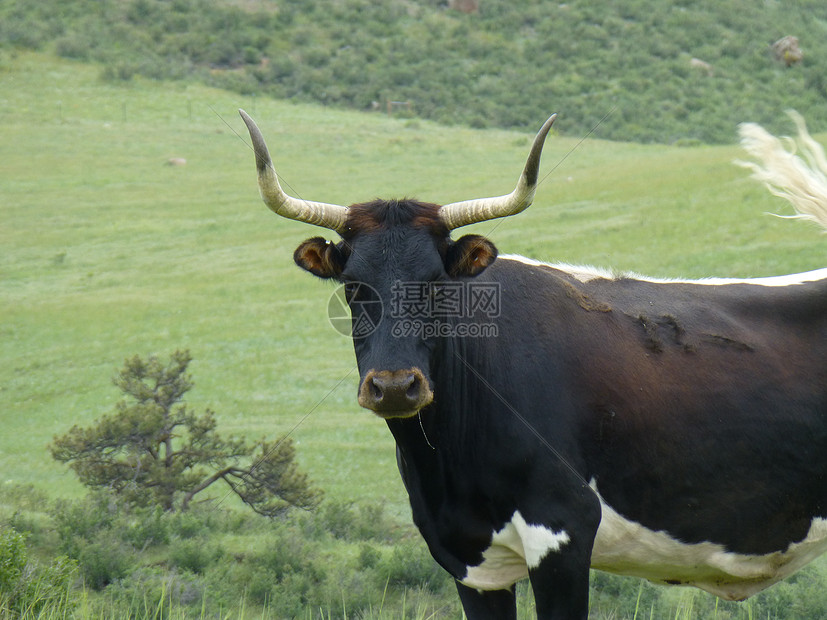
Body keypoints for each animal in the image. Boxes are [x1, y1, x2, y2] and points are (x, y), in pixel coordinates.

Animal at [239, 111, 827, 620]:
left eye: (438, 284)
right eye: (353, 285)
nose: (396, 387)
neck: (448, 465)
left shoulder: (562, 532)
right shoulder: (471, 561)